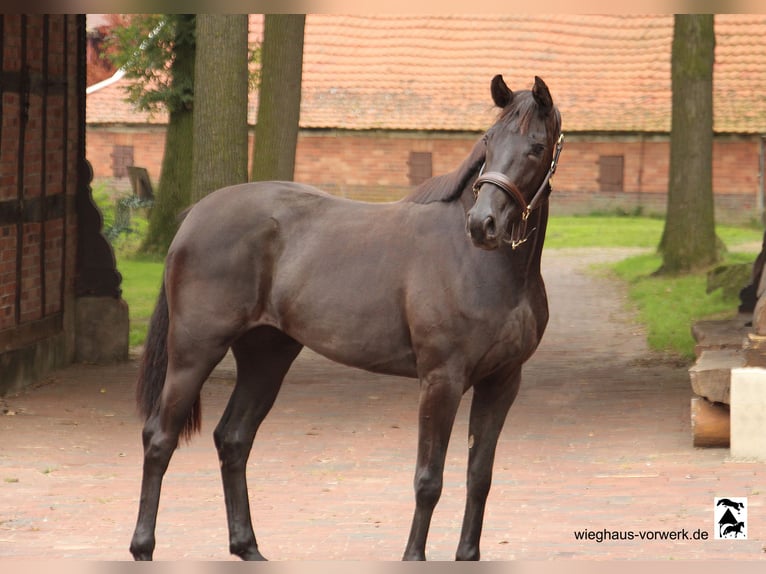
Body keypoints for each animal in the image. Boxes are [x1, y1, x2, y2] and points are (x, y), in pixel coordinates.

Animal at [130, 74, 564, 560]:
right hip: (193, 352)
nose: (483, 224)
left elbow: (480, 477)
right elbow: (428, 479)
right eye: (488, 140)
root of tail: (193, 218)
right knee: (159, 438)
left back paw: (248, 547)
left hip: (266, 356)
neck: (482, 264)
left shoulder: (502, 381)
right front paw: (413, 556)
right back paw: (143, 547)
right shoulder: (442, 380)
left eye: (536, 146)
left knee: (233, 439)